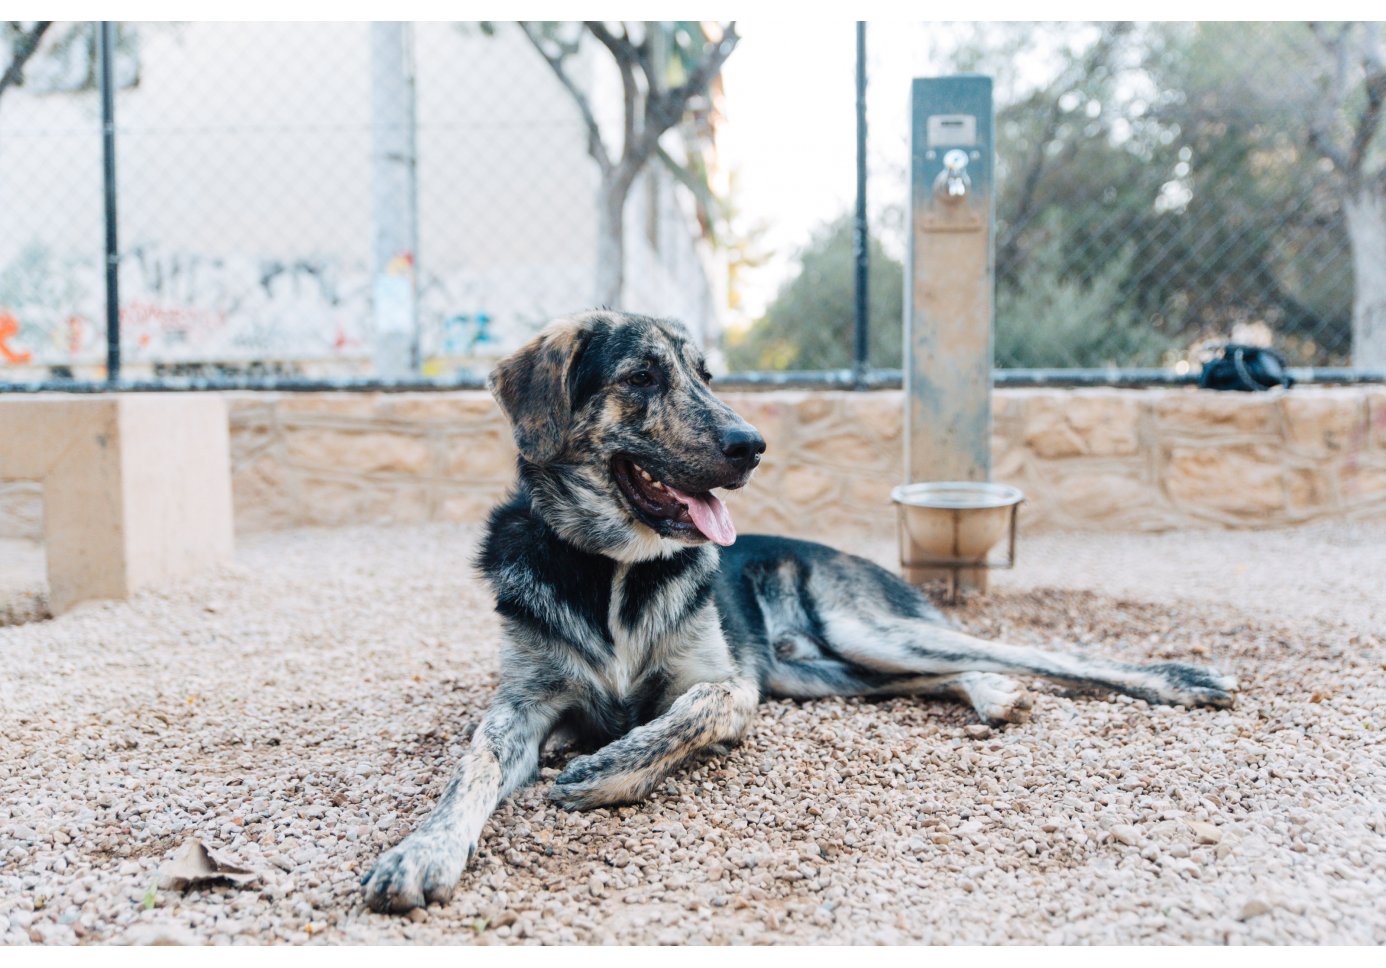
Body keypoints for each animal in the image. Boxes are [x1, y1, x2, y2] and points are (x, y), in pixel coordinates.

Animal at [363, 310, 1241, 909]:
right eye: (641, 377)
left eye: (707, 374)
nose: (752, 445)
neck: (612, 569)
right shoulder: (521, 706)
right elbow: (472, 765)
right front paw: (422, 851)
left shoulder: (728, 689)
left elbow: (685, 713)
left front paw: (606, 770)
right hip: (826, 672)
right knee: (951, 667)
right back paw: (995, 695)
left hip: (866, 630)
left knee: (1014, 647)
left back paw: (1179, 677)